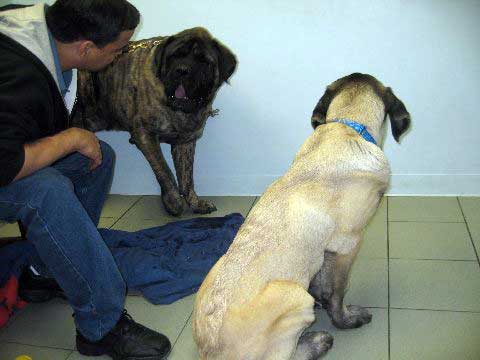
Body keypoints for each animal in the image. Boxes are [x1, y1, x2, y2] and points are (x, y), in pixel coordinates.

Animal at [71, 27, 236, 217]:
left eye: (203, 60)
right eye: (174, 56)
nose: (182, 70)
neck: (177, 110)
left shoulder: (185, 142)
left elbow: (187, 177)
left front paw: (195, 202)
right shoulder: (145, 135)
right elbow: (164, 171)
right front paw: (173, 201)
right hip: (86, 115)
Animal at [193, 71, 410, 358]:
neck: (347, 126)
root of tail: (209, 352)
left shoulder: (325, 250)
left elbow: (322, 280)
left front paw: (322, 296)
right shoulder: (349, 245)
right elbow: (338, 292)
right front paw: (344, 319)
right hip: (294, 296)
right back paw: (316, 341)